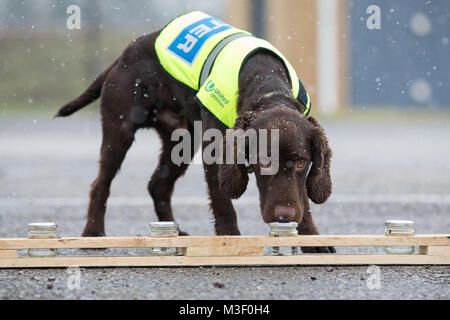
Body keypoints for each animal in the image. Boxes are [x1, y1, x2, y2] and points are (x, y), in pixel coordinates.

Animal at [57, 23, 334, 252]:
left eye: (301, 162)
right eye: (264, 162)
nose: (284, 216)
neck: (266, 86)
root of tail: (122, 56)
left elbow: (303, 197)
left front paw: (311, 239)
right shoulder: (215, 154)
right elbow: (222, 201)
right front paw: (230, 239)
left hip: (182, 142)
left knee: (157, 185)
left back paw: (173, 233)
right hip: (119, 131)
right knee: (101, 184)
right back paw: (93, 233)